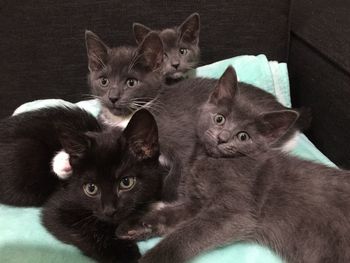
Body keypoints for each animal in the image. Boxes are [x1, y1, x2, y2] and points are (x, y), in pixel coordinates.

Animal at [42, 109, 165, 263]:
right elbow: (85, 227)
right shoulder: (56, 208)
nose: (109, 210)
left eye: (126, 182)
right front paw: (123, 253)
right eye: (91, 188)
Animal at [118, 67, 350, 263]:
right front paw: (135, 226)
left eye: (243, 136)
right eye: (219, 119)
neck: (208, 160)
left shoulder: (235, 212)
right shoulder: (197, 202)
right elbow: (171, 214)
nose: (222, 138)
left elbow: (187, 235)